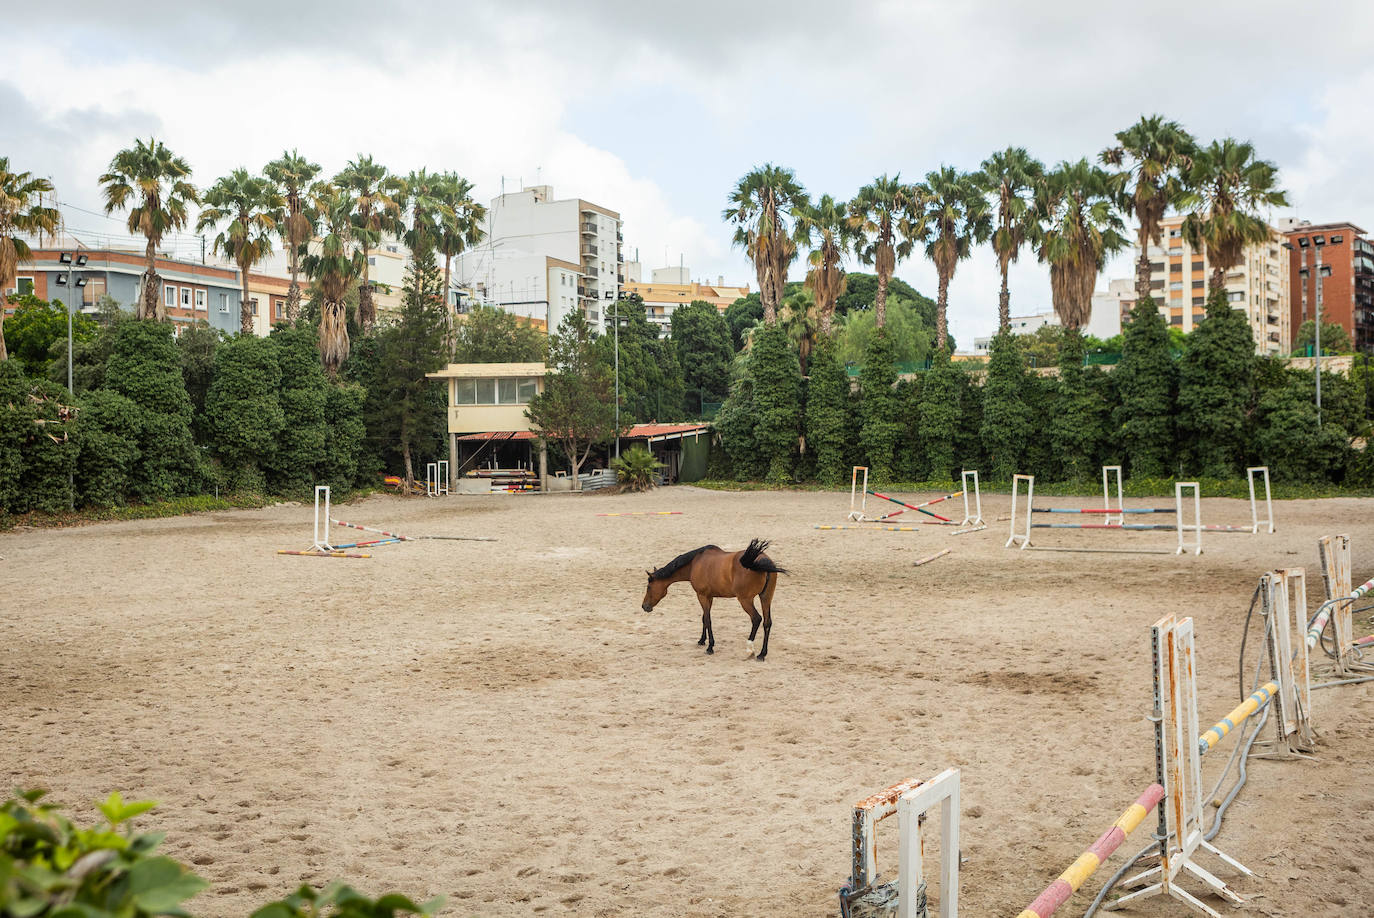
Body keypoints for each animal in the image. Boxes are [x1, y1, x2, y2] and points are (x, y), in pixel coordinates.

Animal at [640, 538, 785, 659]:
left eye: (649, 587)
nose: (644, 606)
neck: (695, 562)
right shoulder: (709, 597)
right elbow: (704, 618)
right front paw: (702, 640)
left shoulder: (702, 596)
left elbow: (708, 620)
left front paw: (710, 647)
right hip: (766, 597)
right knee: (767, 622)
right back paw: (762, 654)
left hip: (745, 600)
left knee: (756, 619)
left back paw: (750, 650)